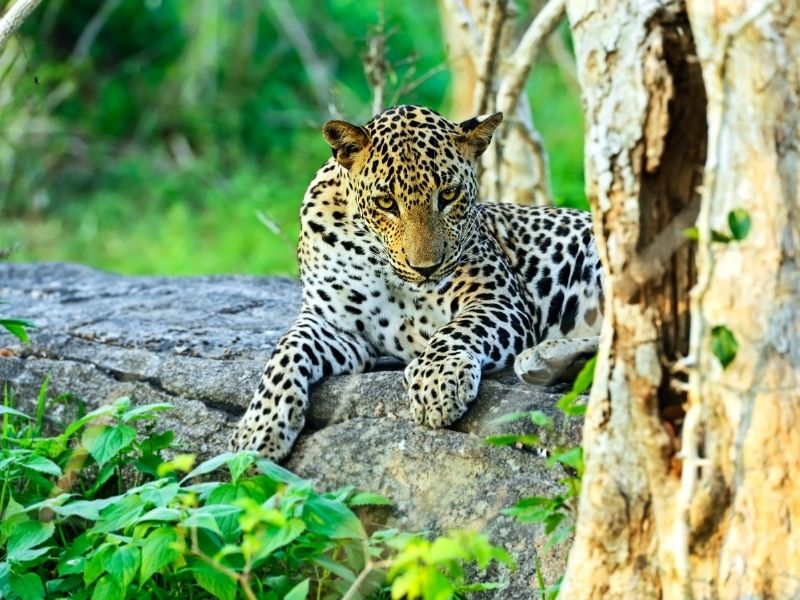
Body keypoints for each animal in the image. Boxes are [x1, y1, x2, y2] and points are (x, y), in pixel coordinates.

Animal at [228, 104, 604, 460]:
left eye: (449, 195)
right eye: (385, 202)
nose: (426, 268)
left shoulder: (498, 299)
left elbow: (457, 329)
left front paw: (436, 382)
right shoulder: (334, 324)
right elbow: (286, 351)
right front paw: (257, 430)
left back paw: (541, 359)